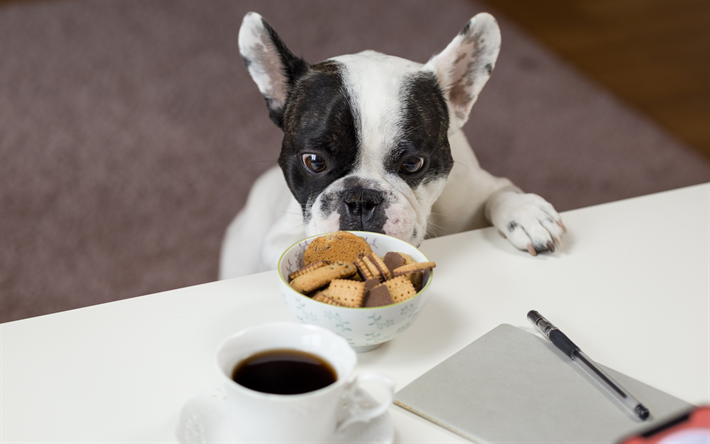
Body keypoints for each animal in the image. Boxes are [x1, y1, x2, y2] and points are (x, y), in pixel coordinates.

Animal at [220, 11, 564, 278]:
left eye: (412, 164)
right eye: (313, 161)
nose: (360, 199)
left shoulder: (477, 189)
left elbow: (500, 193)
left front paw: (526, 213)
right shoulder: (278, 237)